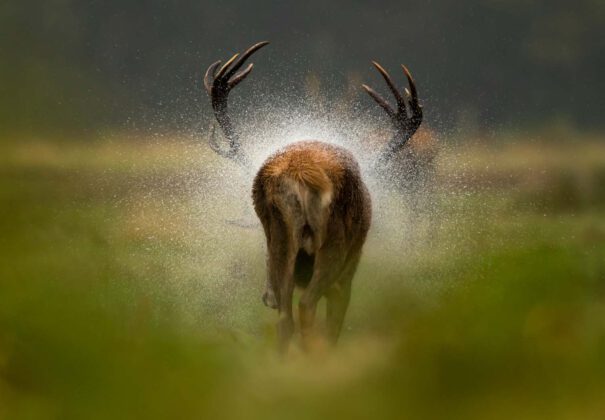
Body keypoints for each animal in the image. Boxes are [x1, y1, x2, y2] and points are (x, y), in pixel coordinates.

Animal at [203, 42, 420, 352]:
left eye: (259, 241)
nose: (265, 296)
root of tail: (299, 175)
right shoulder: (347, 274)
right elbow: (332, 329)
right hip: (333, 246)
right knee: (306, 309)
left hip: (282, 240)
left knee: (285, 320)